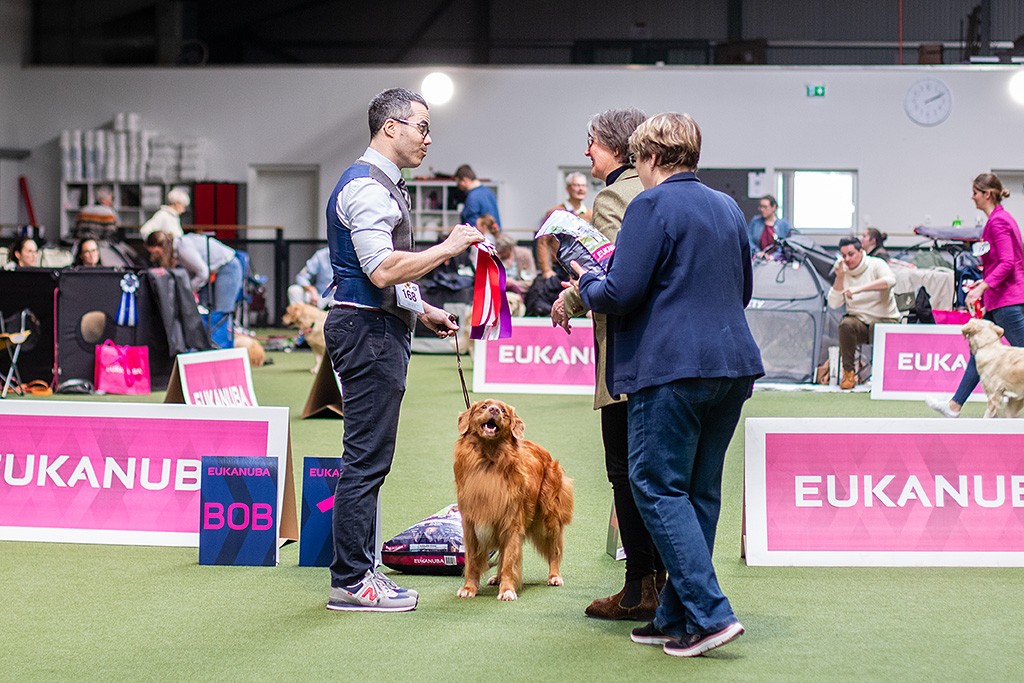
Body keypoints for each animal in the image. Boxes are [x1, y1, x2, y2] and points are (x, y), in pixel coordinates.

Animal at [452, 397, 573, 602]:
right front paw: (469, 588)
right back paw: (497, 577)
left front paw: (507, 589)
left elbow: (509, 560)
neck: (489, 459)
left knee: (554, 550)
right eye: (484, 406)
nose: (494, 410)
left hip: (549, 517)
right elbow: (473, 561)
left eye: (503, 411)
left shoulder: (512, 523)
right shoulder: (471, 525)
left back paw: (554, 576)